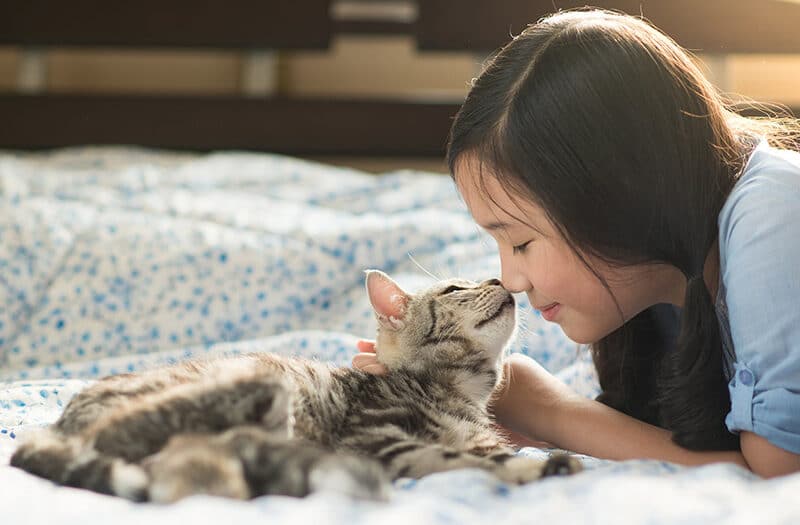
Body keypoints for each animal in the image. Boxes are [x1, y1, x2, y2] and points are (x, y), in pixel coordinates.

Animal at [9, 272, 580, 502]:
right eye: (456, 288)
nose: (501, 279)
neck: (462, 391)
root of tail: (56, 423)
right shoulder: (376, 440)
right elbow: (458, 458)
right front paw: (533, 469)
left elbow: (482, 452)